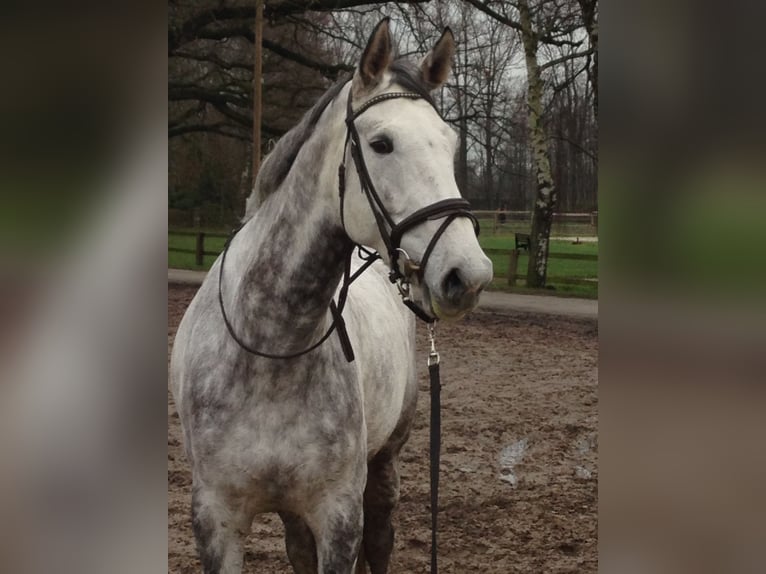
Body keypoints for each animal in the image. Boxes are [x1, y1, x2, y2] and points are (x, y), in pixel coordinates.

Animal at [171, 19, 496, 574]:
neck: (271, 349)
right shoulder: (215, 519)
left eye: (450, 143)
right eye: (382, 143)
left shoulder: (338, 515)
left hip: (383, 466)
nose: (466, 275)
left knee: (381, 541)